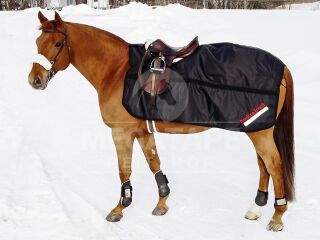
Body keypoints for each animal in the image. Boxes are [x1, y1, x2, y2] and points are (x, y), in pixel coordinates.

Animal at [28, 11, 296, 232]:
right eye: (38, 43)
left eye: (58, 43)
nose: (35, 80)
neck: (117, 70)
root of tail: (282, 67)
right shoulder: (144, 132)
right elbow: (154, 163)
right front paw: (162, 202)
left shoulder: (121, 133)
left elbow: (124, 170)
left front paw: (119, 208)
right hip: (256, 129)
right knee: (263, 166)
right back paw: (256, 209)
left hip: (259, 131)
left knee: (274, 165)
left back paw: (278, 216)